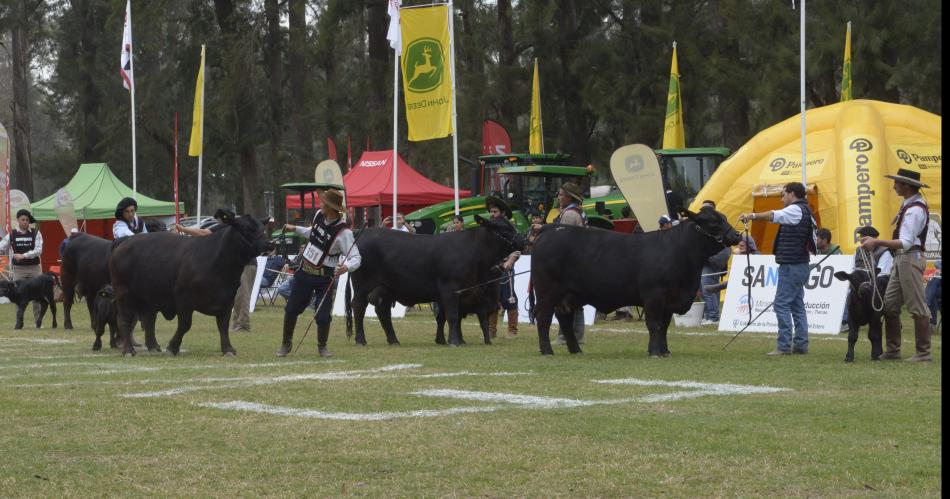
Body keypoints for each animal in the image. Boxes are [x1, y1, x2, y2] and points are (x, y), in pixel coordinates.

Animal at [109, 214, 270, 356]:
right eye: (247, 228)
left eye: (263, 228)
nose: (269, 244)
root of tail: (125, 242)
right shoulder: (184, 300)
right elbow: (185, 325)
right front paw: (172, 347)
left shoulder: (227, 300)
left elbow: (223, 326)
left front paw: (228, 349)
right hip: (124, 293)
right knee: (124, 319)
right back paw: (128, 350)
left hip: (149, 296)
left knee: (149, 319)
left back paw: (153, 346)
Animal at [346, 215, 524, 348]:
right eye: (504, 229)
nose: (522, 241)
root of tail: (362, 234)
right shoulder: (450, 289)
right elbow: (452, 316)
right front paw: (454, 342)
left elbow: (444, 317)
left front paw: (444, 340)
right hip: (362, 286)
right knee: (359, 307)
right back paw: (361, 340)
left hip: (386, 289)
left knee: (383, 312)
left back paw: (394, 340)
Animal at [532, 205, 740, 358]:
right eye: (713, 222)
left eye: (724, 217)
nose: (736, 235)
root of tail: (551, 229)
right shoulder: (654, 296)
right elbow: (654, 324)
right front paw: (655, 352)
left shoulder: (669, 301)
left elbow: (664, 327)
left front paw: (665, 351)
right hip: (546, 292)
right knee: (544, 319)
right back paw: (547, 351)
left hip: (569, 296)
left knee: (565, 321)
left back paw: (576, 351)